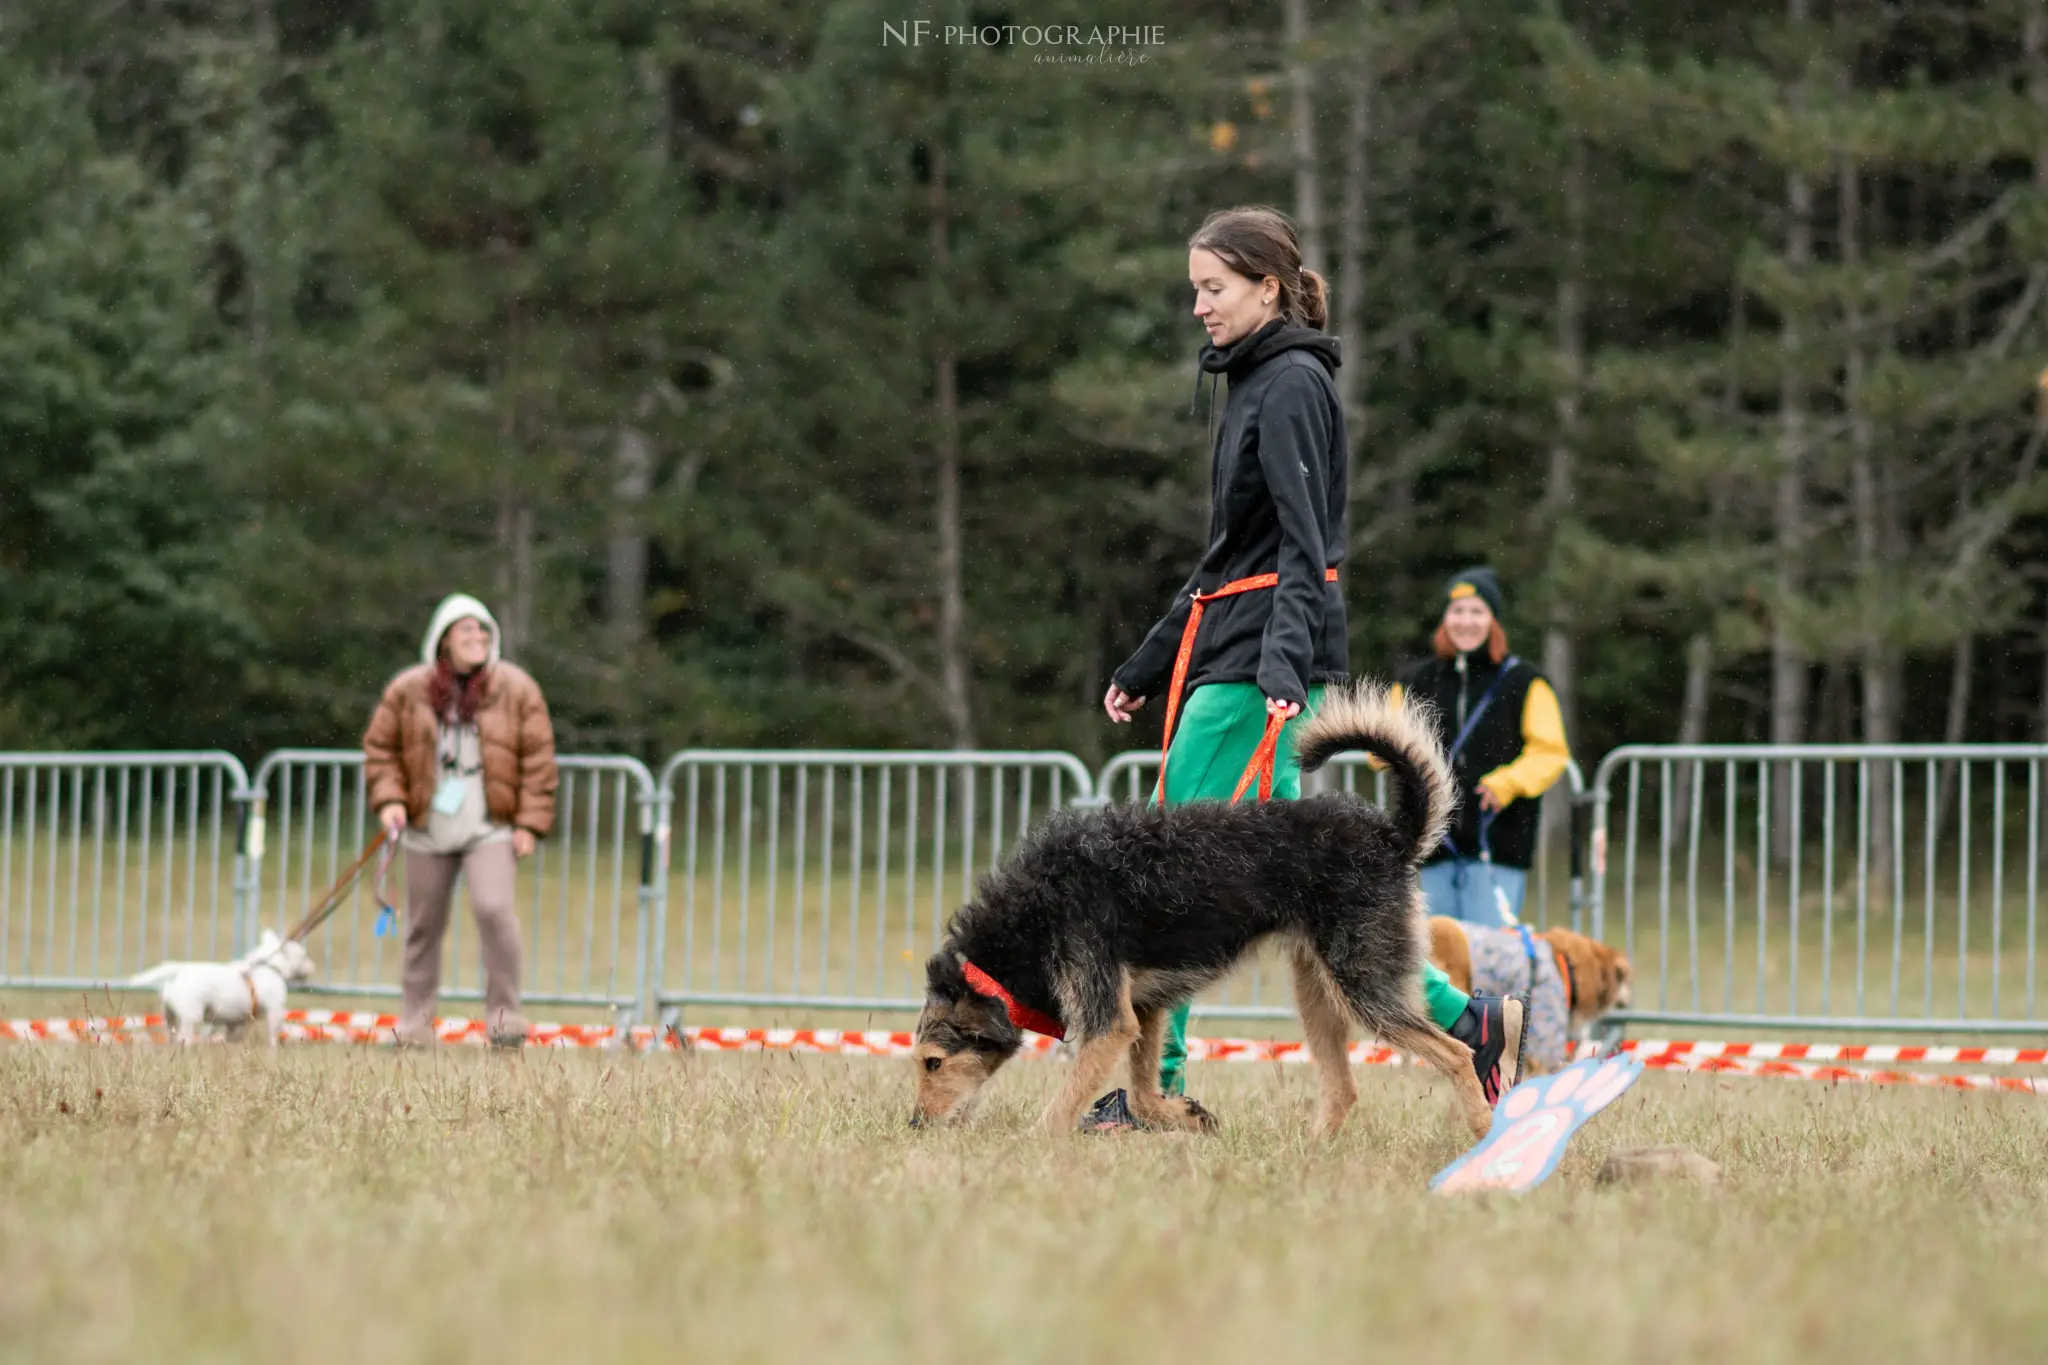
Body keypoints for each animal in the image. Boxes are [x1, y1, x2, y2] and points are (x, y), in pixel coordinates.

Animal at [126, 929, 315, 1047]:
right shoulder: (275, 1010)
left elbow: (230, 1037)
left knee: (171, 1034)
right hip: (191, 1015)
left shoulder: (234, 1023)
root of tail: (179, 972)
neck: (269, 965)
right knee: (184, 1037)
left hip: (169, 1016)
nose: (312, 966)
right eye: (304, 955)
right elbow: (274, 1033)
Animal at [913, 683, 1490, 1146]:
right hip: (1319, 988)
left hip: (1363, 981)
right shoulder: (1144, 1009)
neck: (1036, 912)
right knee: (1344, 1087)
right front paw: (1187, 1118)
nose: (915, 1126)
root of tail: (1391, 836)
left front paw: (1030, 1142)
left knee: (1456, 1054)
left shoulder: (1110, 1019)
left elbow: (1065, 1101)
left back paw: (1487, 1133)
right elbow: (1144, 1095)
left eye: (932, 1061)